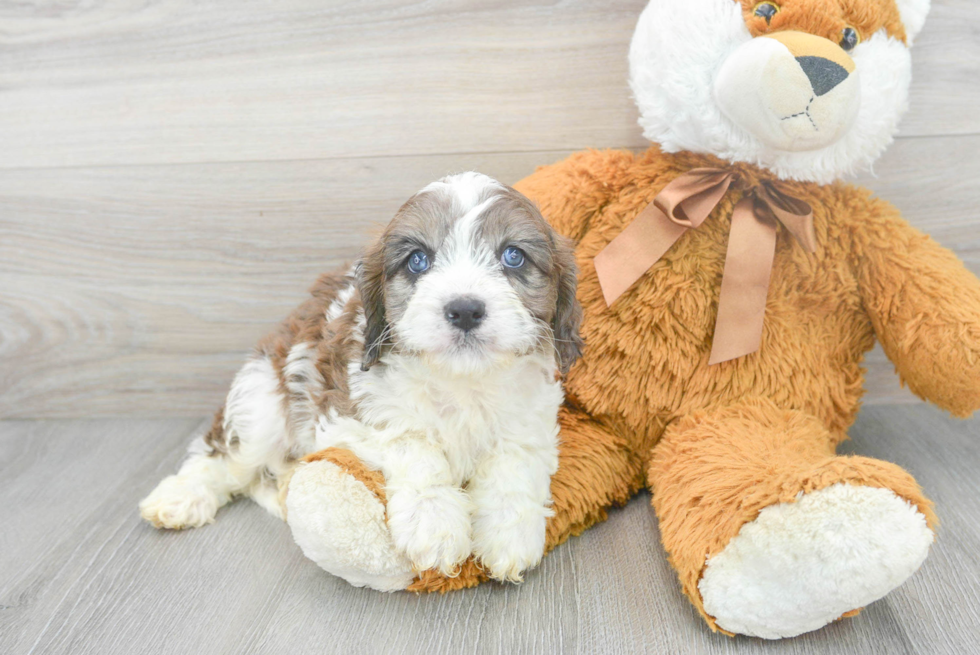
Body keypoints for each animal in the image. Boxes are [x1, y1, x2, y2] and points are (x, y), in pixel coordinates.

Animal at [138, 172, 580, 580]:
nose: (465, 309)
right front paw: (433, 523)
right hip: (261, 401)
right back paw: (181, 496)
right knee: (222, 457)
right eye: (418, 260)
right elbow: (414, 444)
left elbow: (514, 464)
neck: (462, 382)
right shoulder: (345, 415)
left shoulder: (532, 420)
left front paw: (510, 534)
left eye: (513, 256)